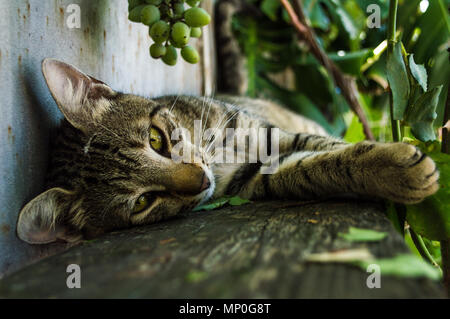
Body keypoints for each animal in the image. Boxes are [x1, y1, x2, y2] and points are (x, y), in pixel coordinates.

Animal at [14, 59, 440, 245]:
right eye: (142, 203)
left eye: (156, 139)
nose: (201, 181)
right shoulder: (258, 179)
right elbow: (318, 167)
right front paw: (398, 171)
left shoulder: (270, 135)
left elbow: (329, 147)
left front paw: (392, 162)